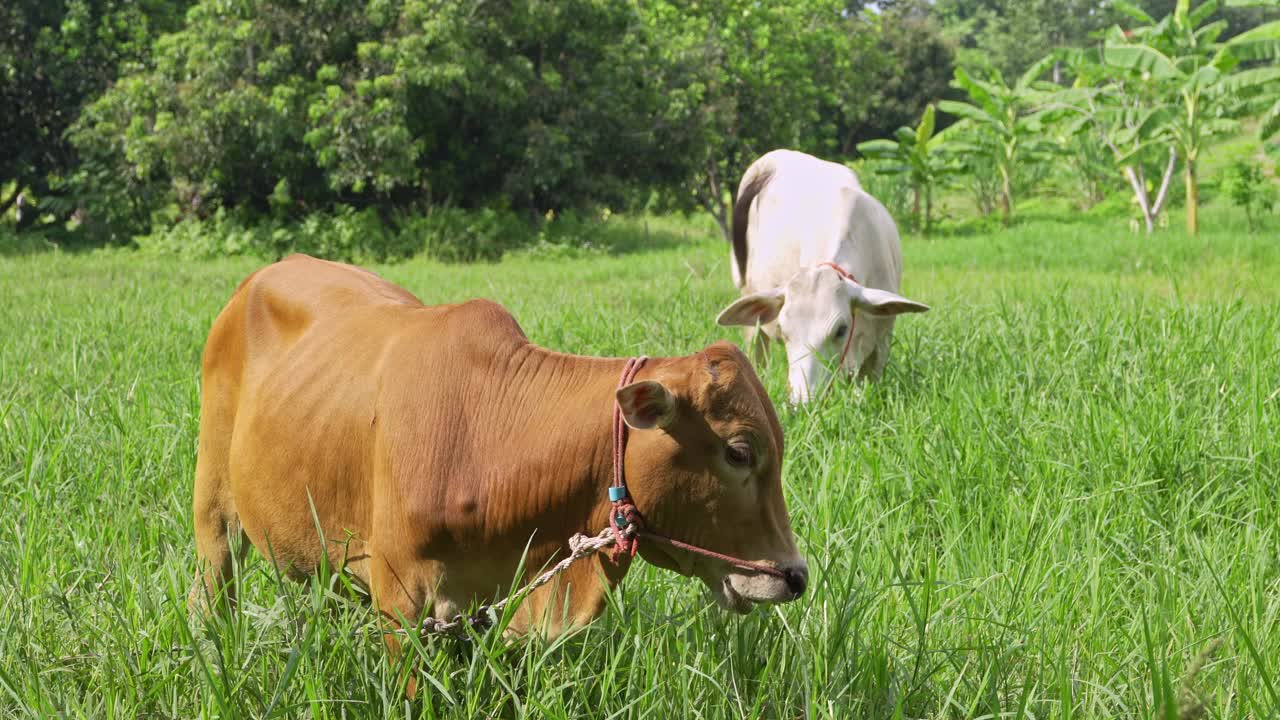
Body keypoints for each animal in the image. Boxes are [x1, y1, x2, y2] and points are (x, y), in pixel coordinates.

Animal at [711, 147, 931, 399]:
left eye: (841, 330)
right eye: (784, 330)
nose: (803, 400)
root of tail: (768, 161)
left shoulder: (881, 341)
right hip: (750, 309)